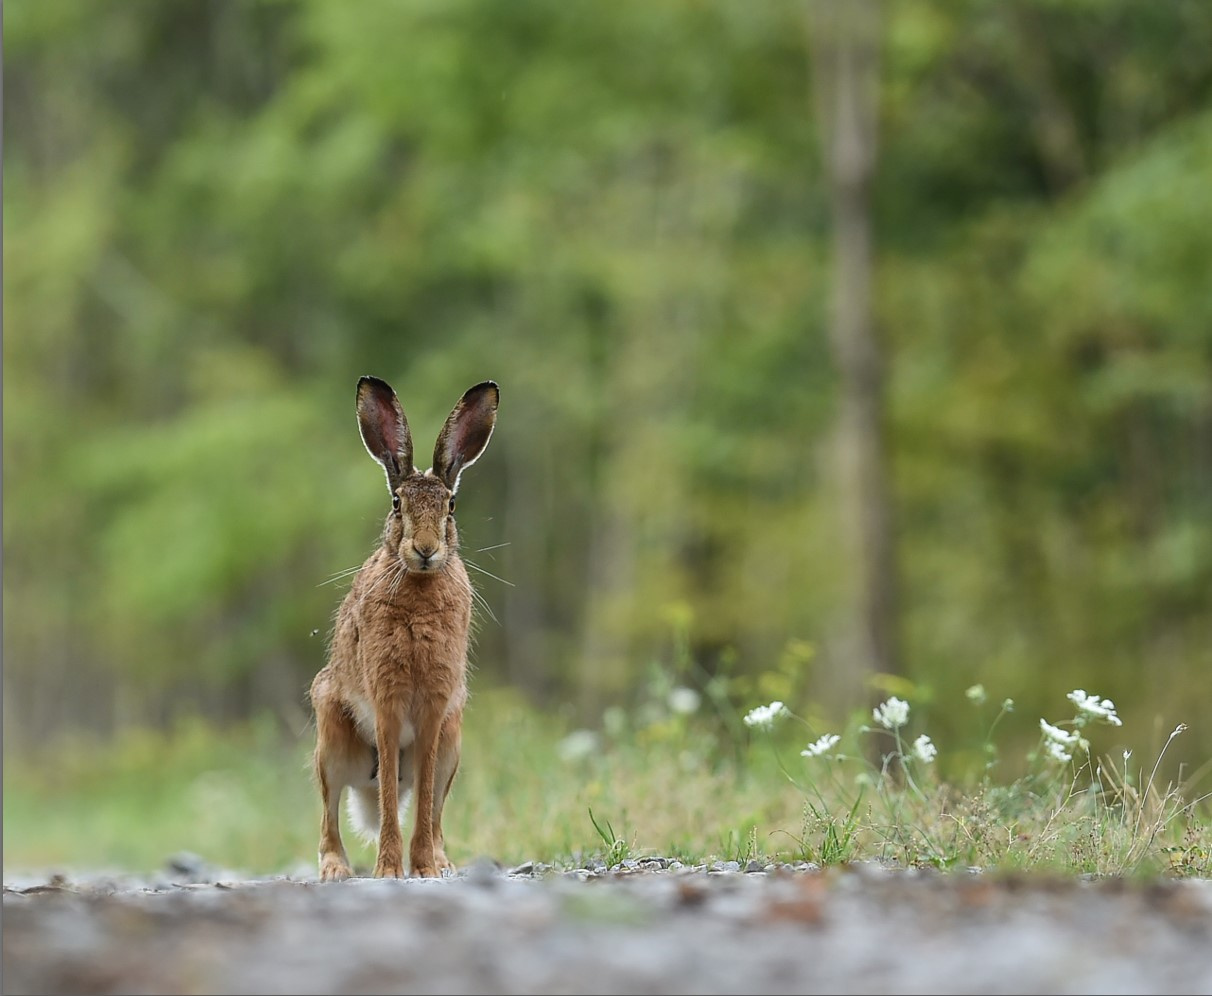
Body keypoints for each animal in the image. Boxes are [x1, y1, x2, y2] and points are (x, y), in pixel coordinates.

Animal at [309, 375, 499, 881]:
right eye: (397, 504)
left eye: (451, 506)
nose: (426, 549)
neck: (419, 584)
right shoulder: (386, 700)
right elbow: (393, 800)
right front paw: (390, 871)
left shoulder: (435, 709)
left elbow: (426, 795)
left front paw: (425, 869)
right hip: (331, 743)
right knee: (331, 809)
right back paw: (336, 869)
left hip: (454, 741)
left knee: (435, 809)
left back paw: (444, 862)